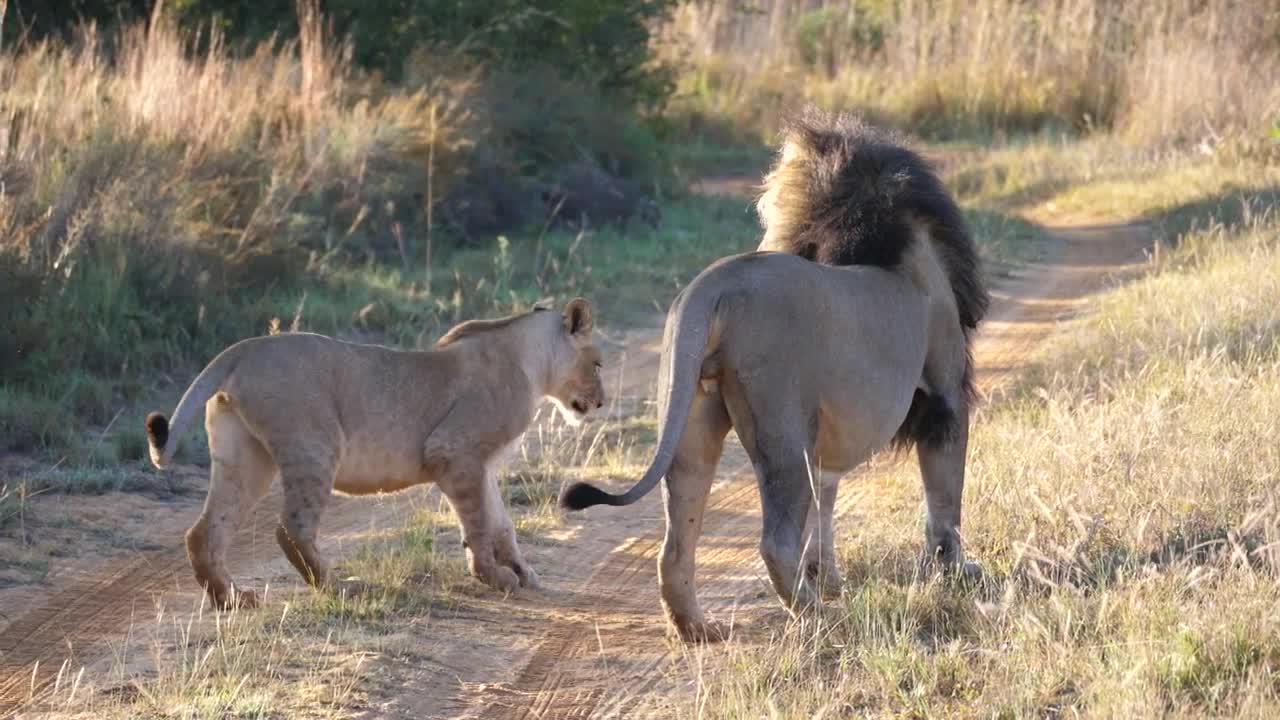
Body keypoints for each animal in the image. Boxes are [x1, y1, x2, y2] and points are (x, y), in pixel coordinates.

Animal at [144, 299, 605, 609]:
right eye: (598, 364)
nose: (602, 402)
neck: (530, 363)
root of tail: (244, 348)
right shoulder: (454, 452)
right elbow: (478, 523)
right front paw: (494, 576)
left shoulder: (482, 463)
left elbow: (502, 522)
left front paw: (523, 572)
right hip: (315, 445)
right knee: (291, 528)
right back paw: (339, 587)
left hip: (245, 458)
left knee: (205, 531)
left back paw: (233, 599)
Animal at [560, 110, 989, 642]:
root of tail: (713, 285)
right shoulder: (945, 397)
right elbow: (945, 497)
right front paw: (955, 572)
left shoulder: (829, 440)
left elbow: (827, 502)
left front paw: (829, 578)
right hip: (783, 432)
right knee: (774, 541)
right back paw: (819, 618)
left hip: (692, 420)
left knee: (676, 543)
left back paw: (699, 628)